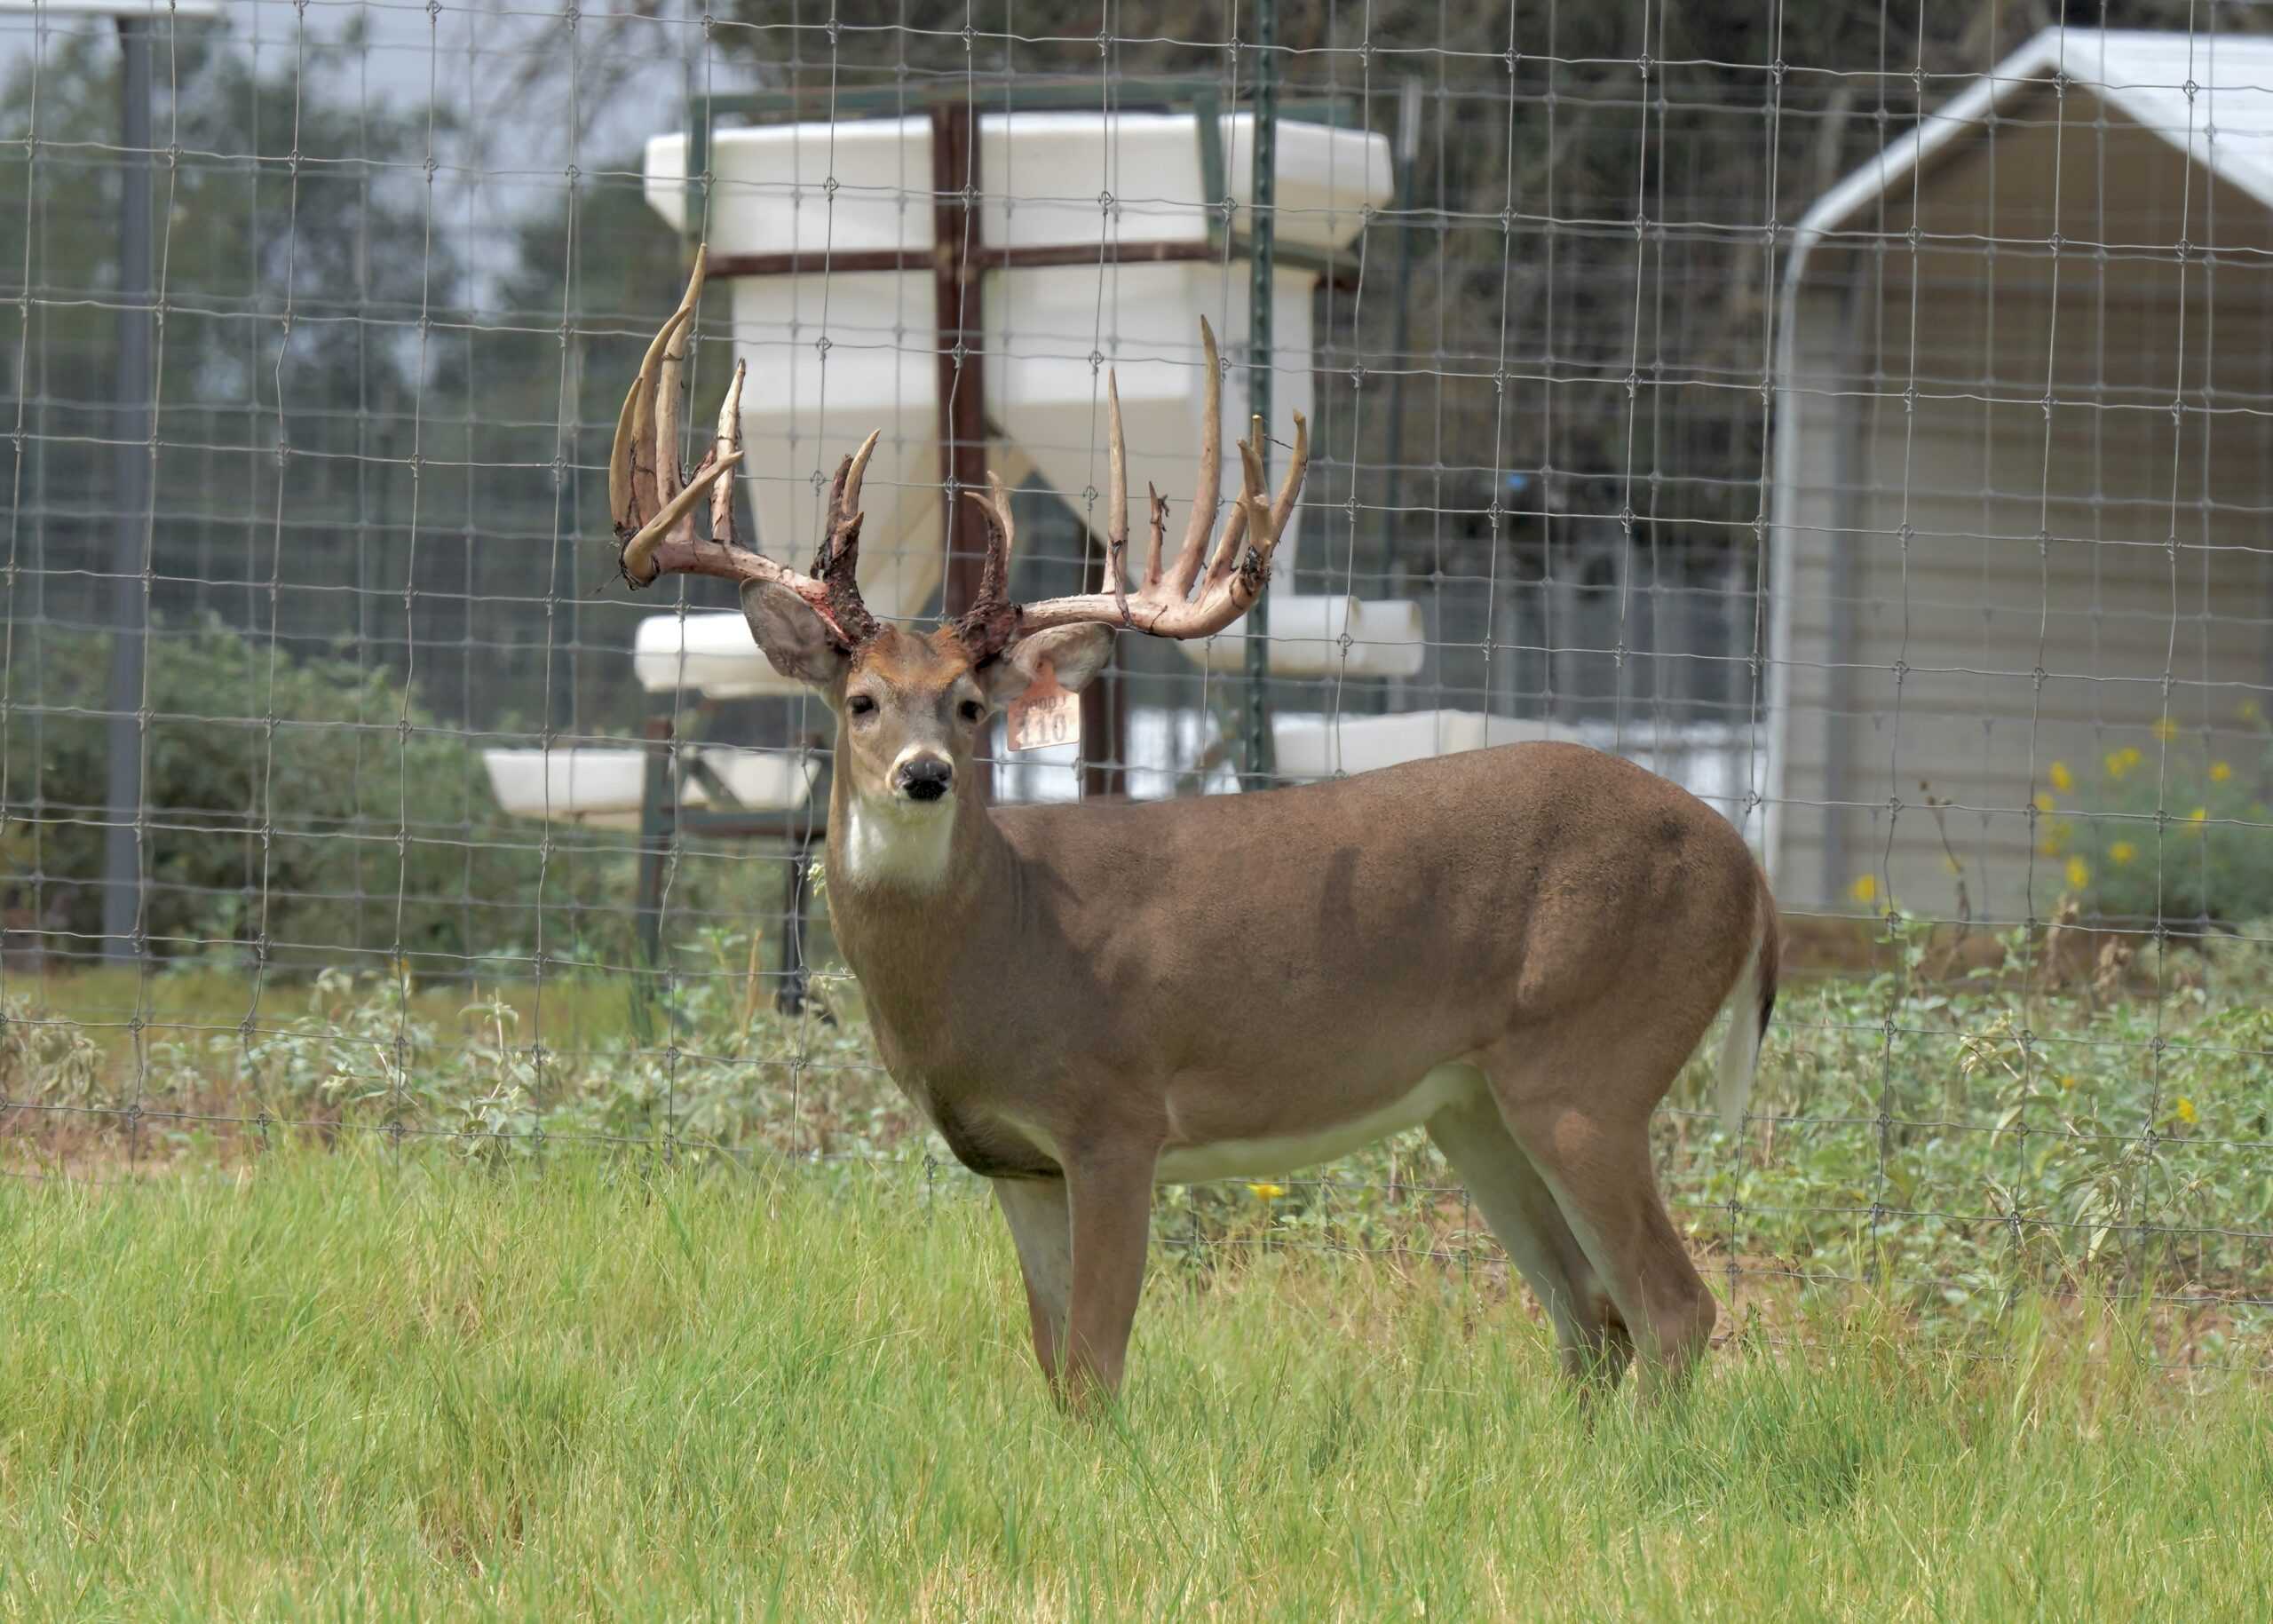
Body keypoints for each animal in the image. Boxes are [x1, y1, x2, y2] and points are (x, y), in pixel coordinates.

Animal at [609, 250, 1780, 1408]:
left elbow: (1095, 1363)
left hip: (1591, 1059)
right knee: (1589, 1315)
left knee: (1671, 1305)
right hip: (1472, 1102)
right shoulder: (1016, 1161)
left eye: (970, 705)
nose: (925, 774)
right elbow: (1052, 1365)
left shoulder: (1115, 1116)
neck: (1001, 945)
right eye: (860, 701)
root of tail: (1749, 871)